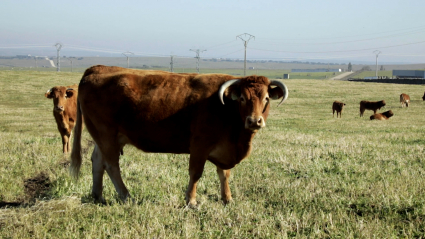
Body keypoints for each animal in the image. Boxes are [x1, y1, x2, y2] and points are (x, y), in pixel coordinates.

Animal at [70, 65, 288, 205]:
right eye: (242, 98)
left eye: (266, 98)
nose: (254, 121)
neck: (226, 107)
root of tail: (96, 69)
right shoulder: (200, 145)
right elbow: (196, 173)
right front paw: (191, 201)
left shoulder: (223, 149)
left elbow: (224, 174)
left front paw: (227, 198)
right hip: (106, 134)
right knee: (111, 165)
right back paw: (126, 196)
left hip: (104, 137)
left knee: (98, 161)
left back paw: (98, 196)